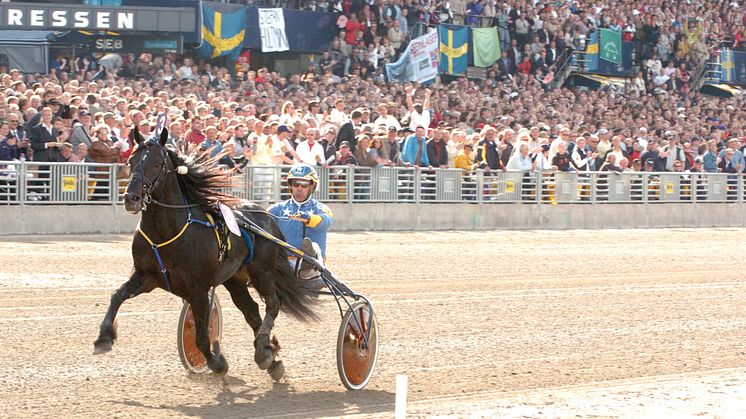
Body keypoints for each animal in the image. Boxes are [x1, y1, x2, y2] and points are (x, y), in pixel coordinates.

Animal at [92, 126, 314, 378]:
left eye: (157, 163)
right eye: (131, 160)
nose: (131, 198)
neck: (166, 232)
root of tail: (267, 216)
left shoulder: (198, 289)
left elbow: (201, 336)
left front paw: (217, 362)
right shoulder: (147, 277)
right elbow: (117, 295)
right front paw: (104, 337)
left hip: (262, 271)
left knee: (273, 303)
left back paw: (263, 351)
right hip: (235, 280)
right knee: (252, 311)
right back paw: (269, 354)